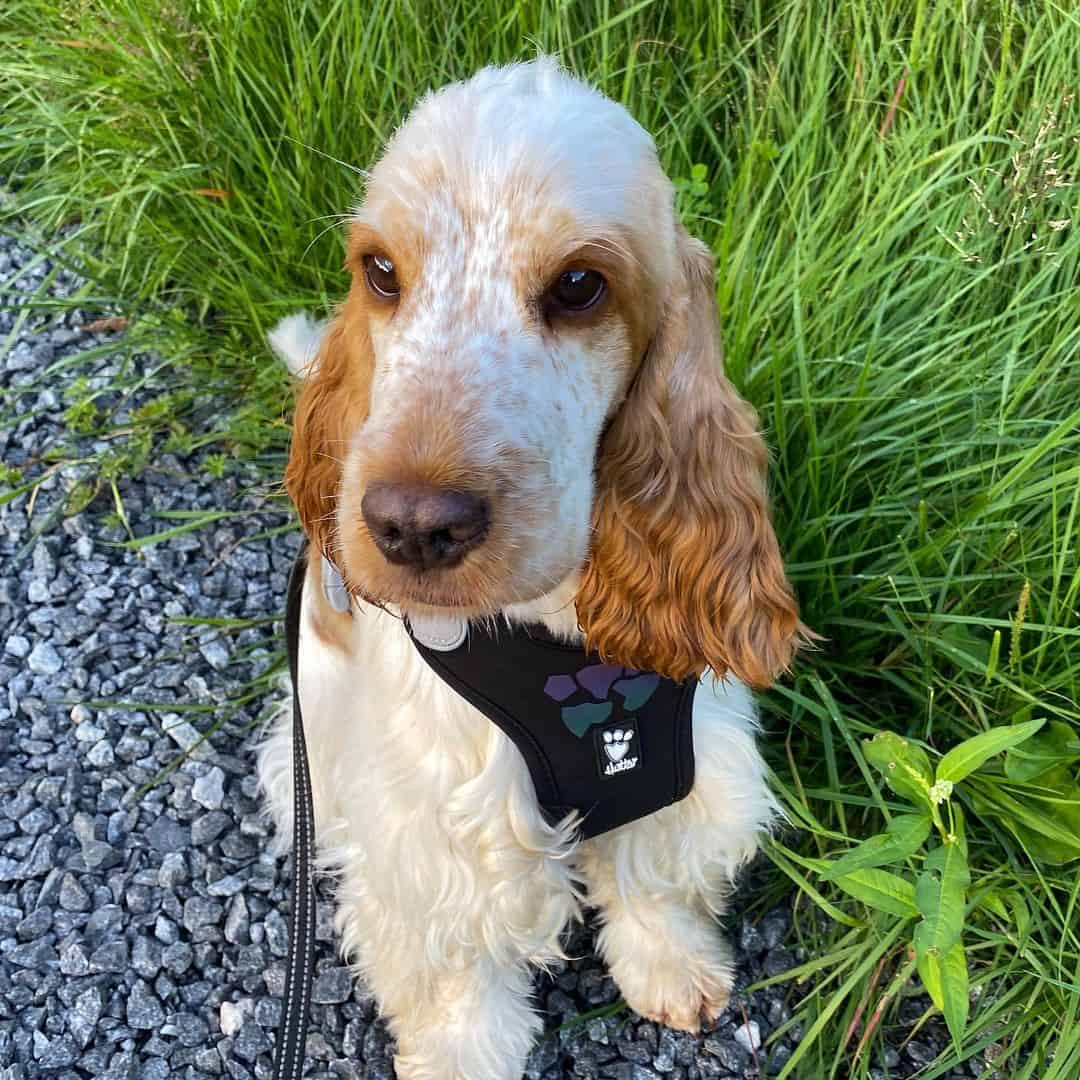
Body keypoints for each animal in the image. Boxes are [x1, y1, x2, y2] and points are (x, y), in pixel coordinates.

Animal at [257, 59, 807, 1080]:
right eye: (381, 272)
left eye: (581, 284)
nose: (411, 526)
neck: (562, 650)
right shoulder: (440, 831)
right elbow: (456, 978)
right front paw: (460, 1058)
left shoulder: (684, 768)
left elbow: (653, 883)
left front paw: (674, 970)